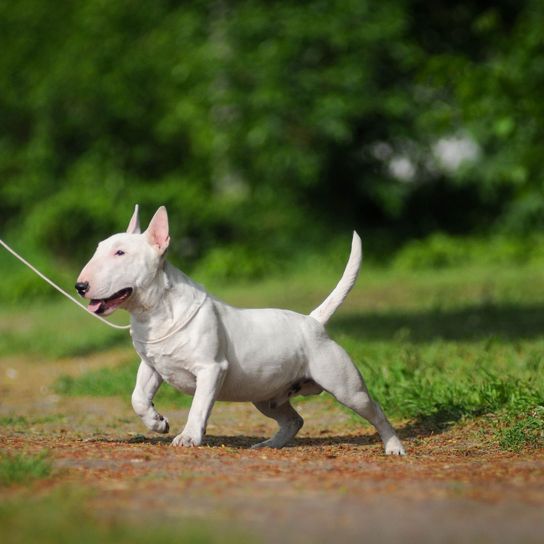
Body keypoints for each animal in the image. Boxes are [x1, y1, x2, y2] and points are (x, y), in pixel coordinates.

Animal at [76, 207, 406, 454]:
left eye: (120, 253)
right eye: (99, 249)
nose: (80, 286)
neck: (156, 311)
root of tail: (313, 322)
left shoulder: (211, 369)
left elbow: (198, 405)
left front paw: (188, 437)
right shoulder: (152, 366)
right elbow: (138, 398)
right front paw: (158, 422)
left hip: (344, 384)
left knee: (375, 410)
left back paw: (394, 446)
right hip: (266, 396)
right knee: (294, 420)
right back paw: (268, 445)